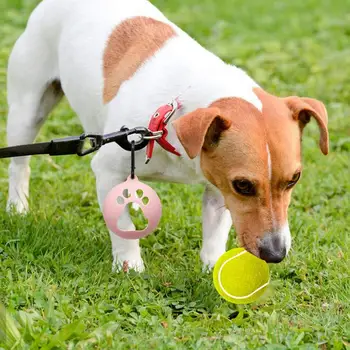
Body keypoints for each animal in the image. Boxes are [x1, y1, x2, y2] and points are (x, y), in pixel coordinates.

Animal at [5, 0, 328, 270]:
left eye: (294, 179)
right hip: (27, 108)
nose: (276, 254)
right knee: (19, 163)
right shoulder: (108, 170)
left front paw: (214, 269)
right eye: (244, 186)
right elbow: (122, 226)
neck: (168, 126)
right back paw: (17, 206)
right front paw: (130, 265)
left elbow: (215, 233)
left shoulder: (217, 184)